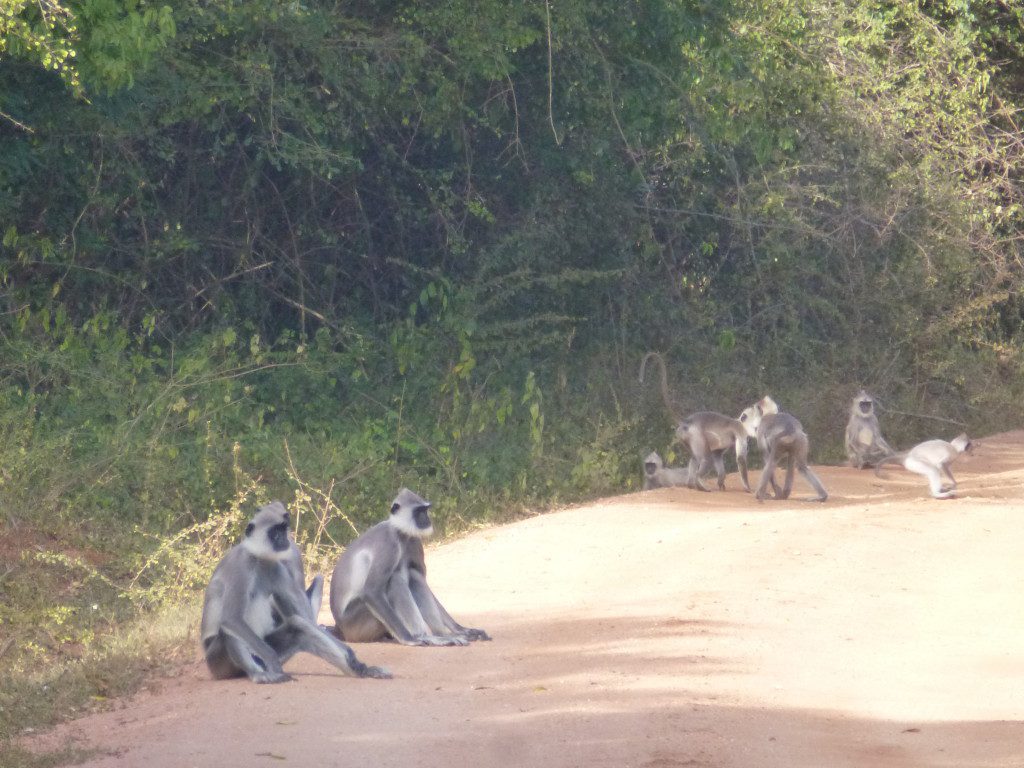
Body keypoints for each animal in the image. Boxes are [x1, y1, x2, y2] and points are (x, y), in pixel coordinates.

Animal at [198, 501, 387, 688]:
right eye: (274, 533)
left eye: (282, 529)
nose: (284, 539)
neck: (259, 558)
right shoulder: (241, 565)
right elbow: (231, 618)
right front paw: (272, 660)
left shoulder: (276, 567)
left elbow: (304, 618)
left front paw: (352, 656)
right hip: (218, 664)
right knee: (227, 629)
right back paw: (259, 675)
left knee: (298, 625)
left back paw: (360, 671)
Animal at [327, 489, 487, 647]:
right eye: (418, 511)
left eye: (425, 510)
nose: (426, 519)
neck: (400, 533)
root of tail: (341, 629)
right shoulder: (388, 543)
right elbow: (372, 591)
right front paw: (410, 639)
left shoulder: (414, 540)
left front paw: (462, 629)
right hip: (355, 624)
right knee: (394, 580)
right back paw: (424, 636)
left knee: (414, 575)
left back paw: (444, 634)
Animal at [638, 354, 753, 493]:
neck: (738, 421)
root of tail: (689, 421)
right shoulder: (740, 430)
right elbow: (739, 459)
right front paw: (748, 489)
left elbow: (717, 455)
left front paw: (721, 482)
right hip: (696, 436)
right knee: (706, 458)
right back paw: (698, 482)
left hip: (685, 437)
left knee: (694, 458)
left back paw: (691, 485)